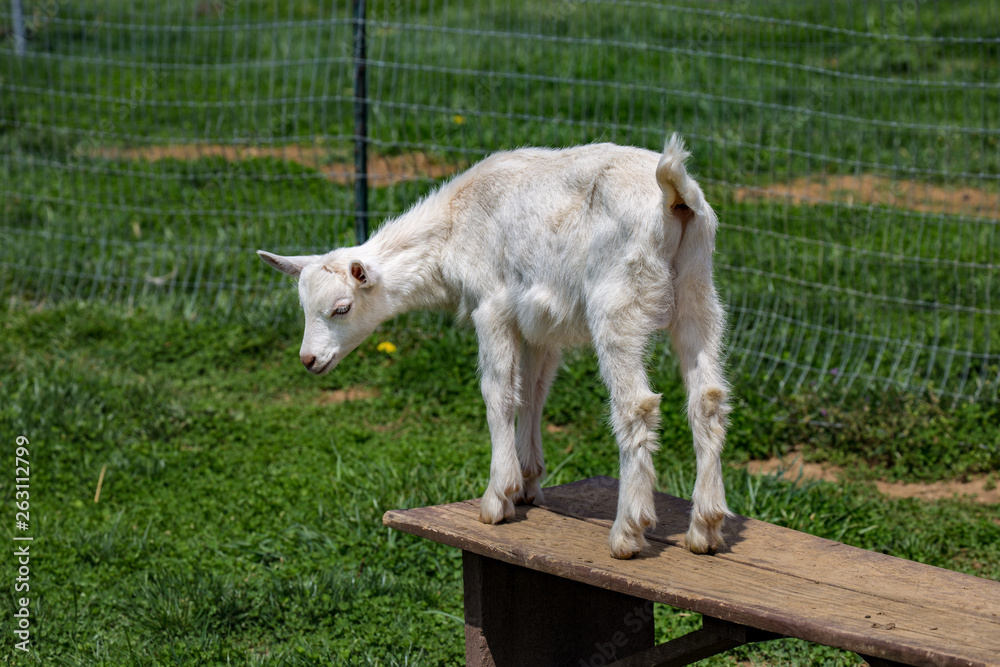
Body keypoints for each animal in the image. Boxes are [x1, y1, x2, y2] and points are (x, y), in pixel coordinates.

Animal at [258, 134, 731, 558]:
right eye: (304, 307)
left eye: (341, 308)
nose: (309, 360)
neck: (452, 226)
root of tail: (675, 196)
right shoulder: (540, 324)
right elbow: (533, 393)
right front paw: (528, 482)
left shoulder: (492, 305)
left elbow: (498, 391)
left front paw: (498, 497)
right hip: (699, 293)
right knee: (707, 397)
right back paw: (705, 529)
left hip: (619, 304)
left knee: (637, 405)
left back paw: (628, 533)